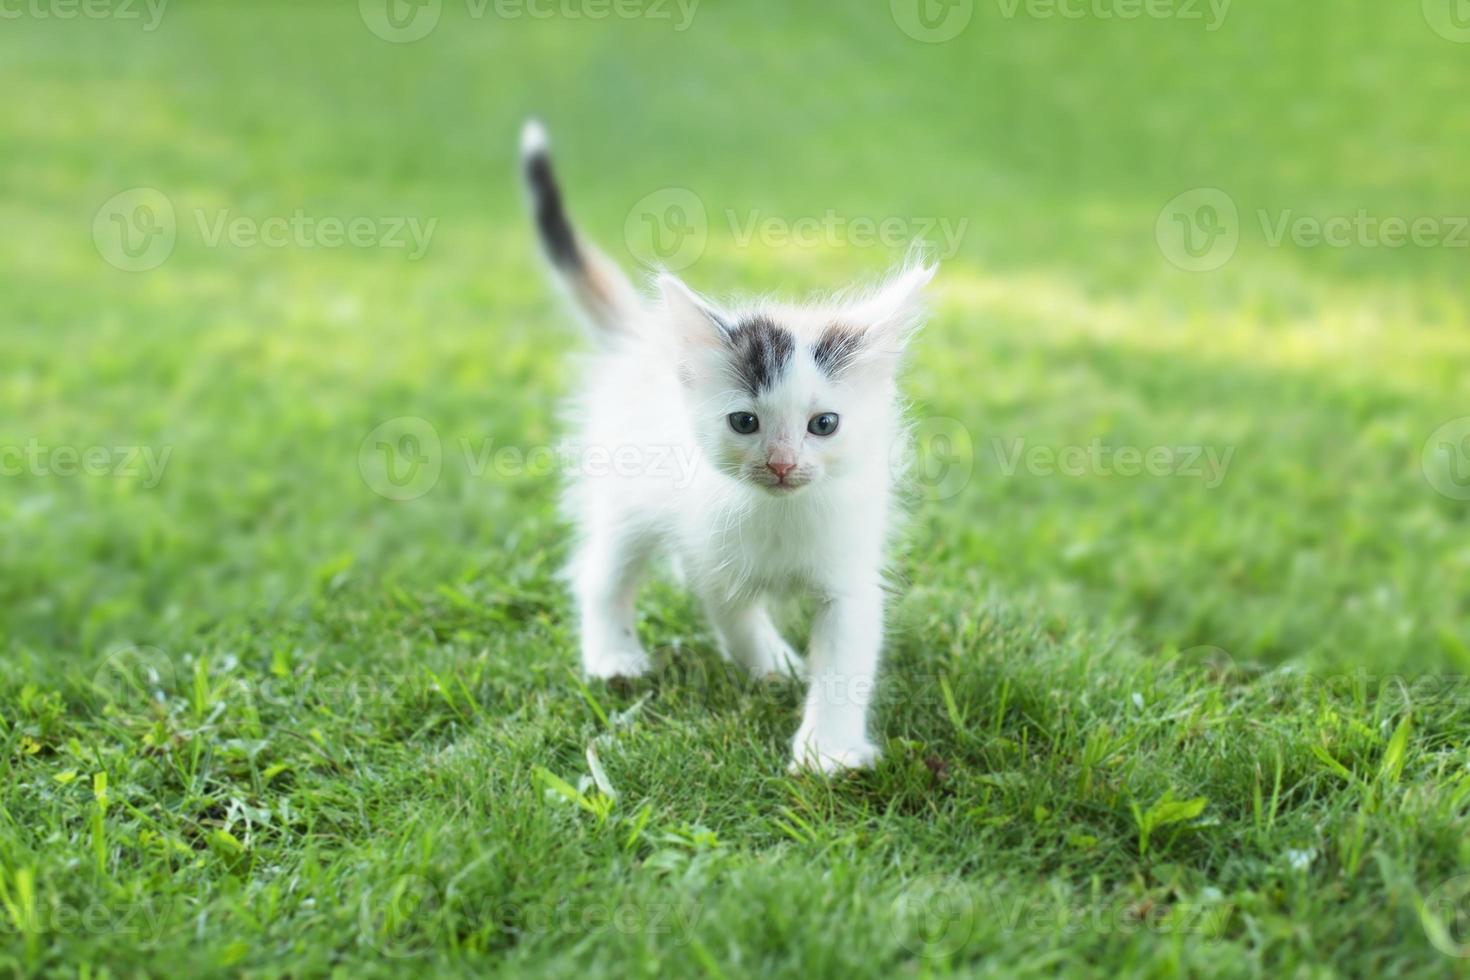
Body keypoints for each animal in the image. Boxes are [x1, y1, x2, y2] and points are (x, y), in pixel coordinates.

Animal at [523, 120, 934, 775]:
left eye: (824, 424)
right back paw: (614, 658)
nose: (782, 463)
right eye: (745, 422)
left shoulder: (849, 569)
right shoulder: (709, 553)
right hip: (625, 494)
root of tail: (645, 336)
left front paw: (827, 752)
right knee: (601, 570)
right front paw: (773, 667)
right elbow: (735, 617)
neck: (780, 514)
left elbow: (847, 656)